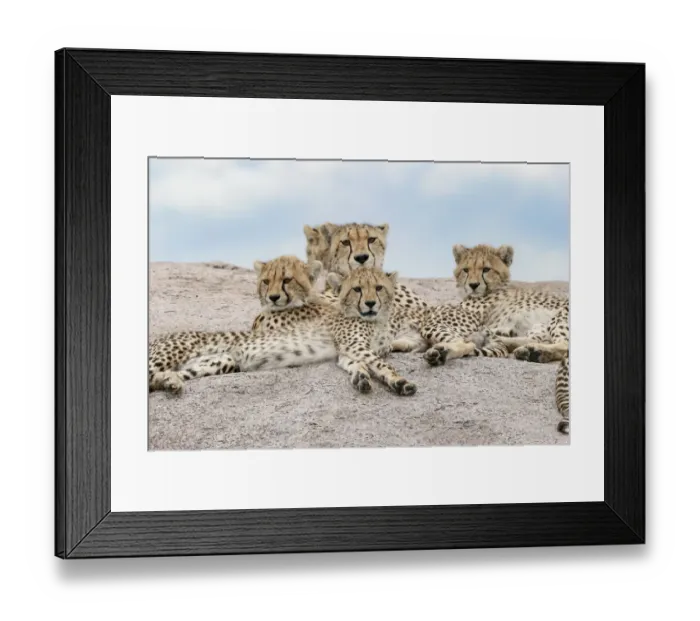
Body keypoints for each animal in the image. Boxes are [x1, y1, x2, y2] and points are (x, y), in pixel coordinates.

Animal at [149, 267, 417, 397]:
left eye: (379, 288)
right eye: (357, 289)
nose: (370, 304)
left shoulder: (347, 351)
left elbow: (357, 364)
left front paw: (361, 378)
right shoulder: (355, 346)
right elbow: (382, 364)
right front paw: (401, 381)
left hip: (219, 362)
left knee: (159, 379)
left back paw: (171, 382)